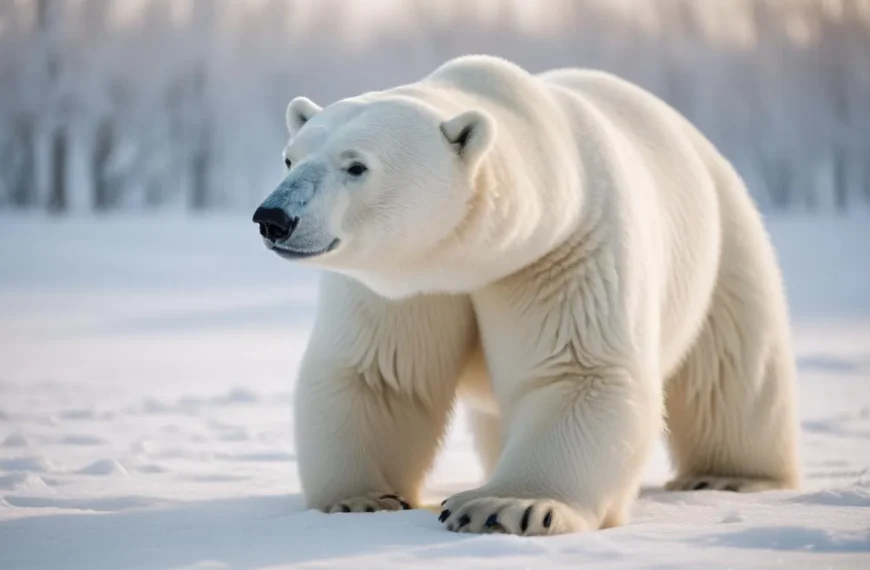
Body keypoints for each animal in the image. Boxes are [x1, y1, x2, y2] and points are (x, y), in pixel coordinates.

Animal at [252, 54, 802, 536]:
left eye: (357, 166)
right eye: (289, 157)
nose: (273, 217)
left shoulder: (567, 249)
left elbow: (577, 371)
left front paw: (505, 506)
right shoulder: (399, 283)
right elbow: (380, 376)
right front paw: (361, 499)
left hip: (726, 240)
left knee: (732, 368)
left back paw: (729, 475)